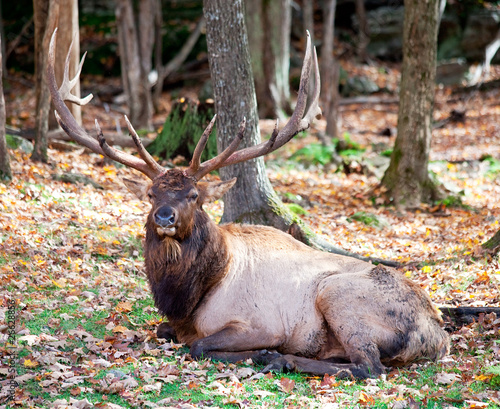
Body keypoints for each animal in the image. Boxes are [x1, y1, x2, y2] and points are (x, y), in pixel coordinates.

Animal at [48, 29, 452, 380]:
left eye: (194, 196)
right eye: (151, 194)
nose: (164, 216)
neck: (190, 297)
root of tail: (438, 335)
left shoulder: (260, 323)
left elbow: (197, 347)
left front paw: (261, 353)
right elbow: (163, 331)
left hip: (338, 295)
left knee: (369, 366)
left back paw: (280, 359)